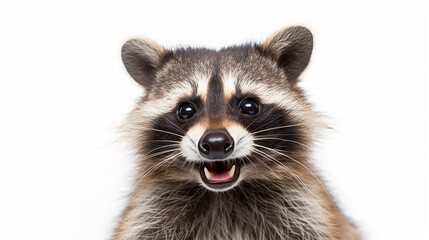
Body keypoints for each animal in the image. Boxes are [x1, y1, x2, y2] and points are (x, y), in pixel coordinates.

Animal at [113, 26, 358, 240]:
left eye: (249, 106)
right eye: (186, 110)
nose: (216, 143)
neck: (222, 195)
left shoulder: (304, 212)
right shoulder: (149, 215)